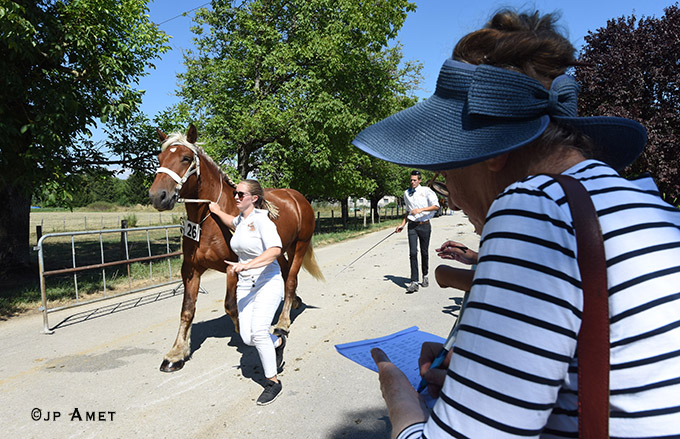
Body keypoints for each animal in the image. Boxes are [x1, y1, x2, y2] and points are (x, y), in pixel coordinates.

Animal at [149, 123, 324, 372]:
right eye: (160, 157)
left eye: (185, 158)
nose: (158, 196)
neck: (208, 218)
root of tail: (298, 198)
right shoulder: (190, 269)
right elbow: (187, 310)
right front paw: (177, 353)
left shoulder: (233, 267)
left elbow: (231, 305)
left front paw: (246, 333)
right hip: (279, 251)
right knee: (285, 274)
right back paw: (294, 304)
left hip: (299, 245)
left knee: (290, 280)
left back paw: (283, 322)